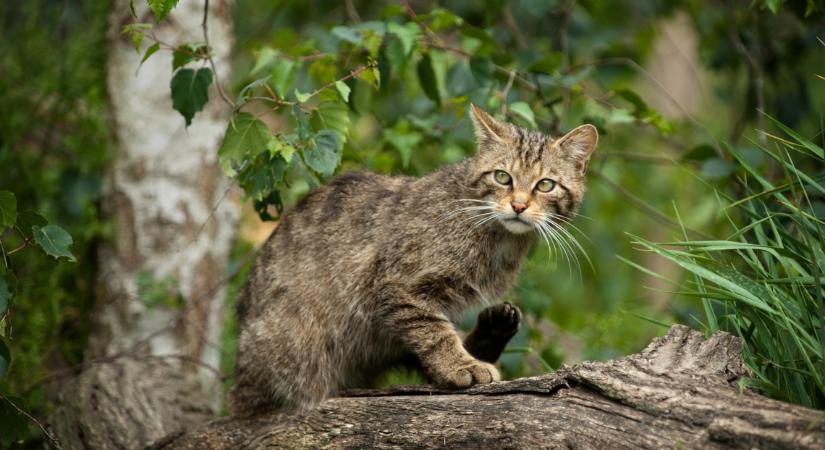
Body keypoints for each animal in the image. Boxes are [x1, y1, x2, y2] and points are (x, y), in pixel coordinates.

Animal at [229, 105, 596, 414]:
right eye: (502, 177)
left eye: (545, 185)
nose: (518, 205)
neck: (498, 239)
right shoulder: (397, 285)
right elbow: (434, 332)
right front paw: (460, 365)